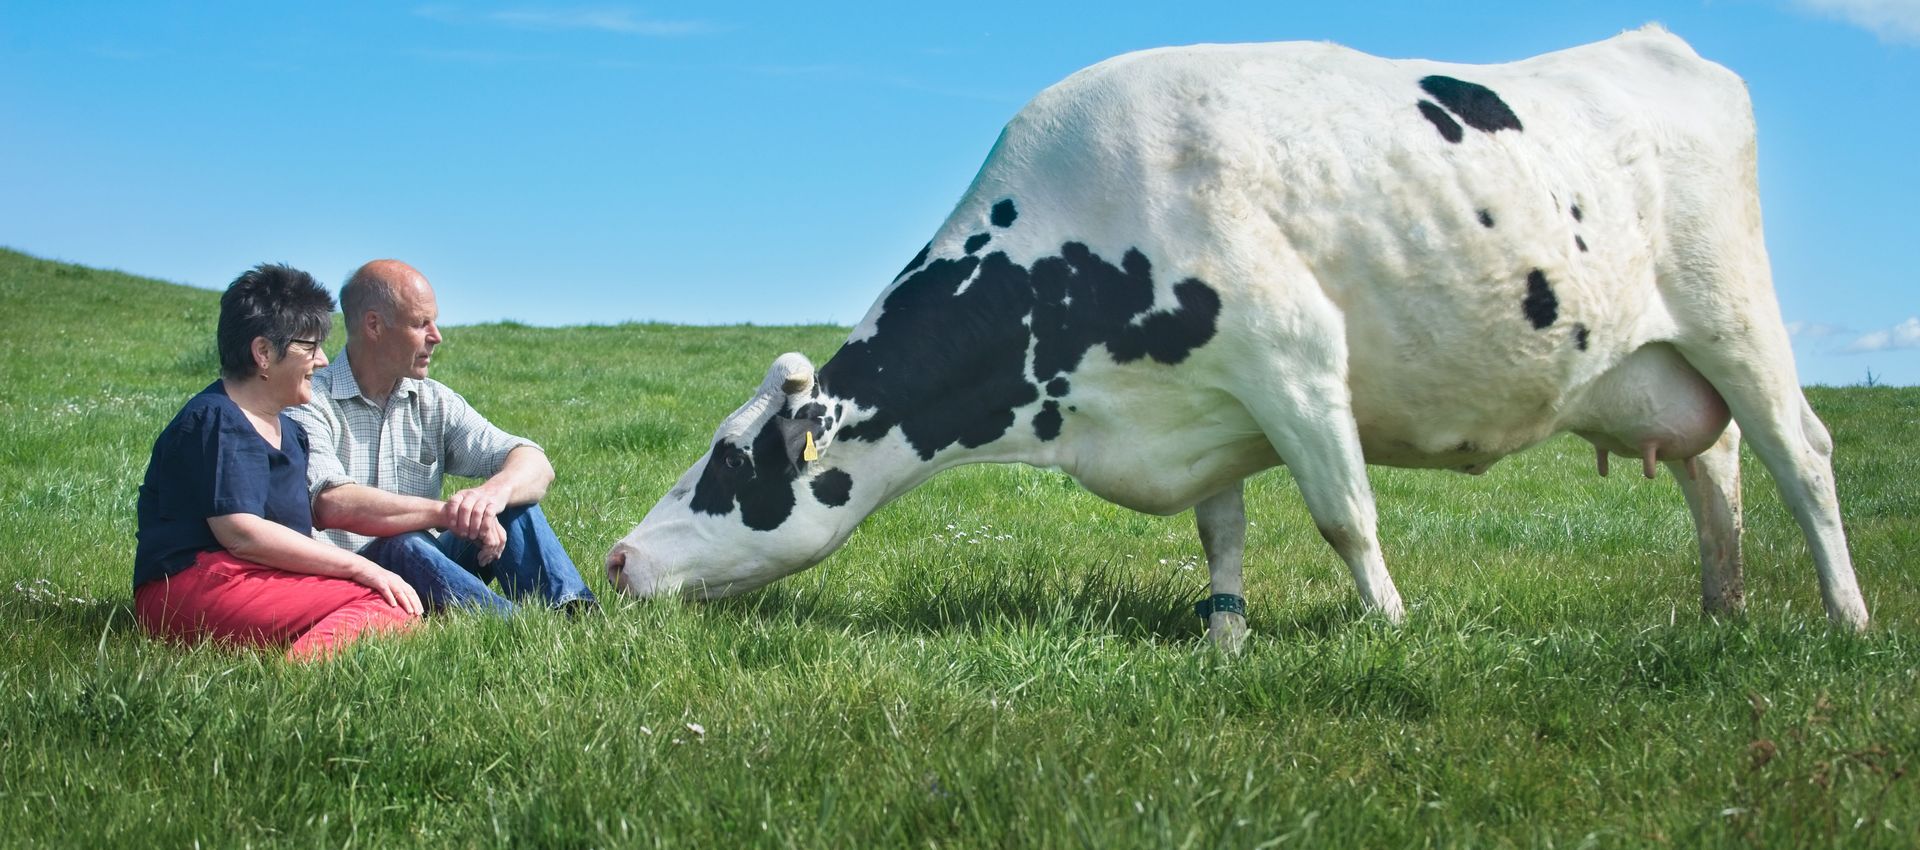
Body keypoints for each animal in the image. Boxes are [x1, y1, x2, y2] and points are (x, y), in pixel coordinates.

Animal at [606, 25, 1870, 645]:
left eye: (733, 462)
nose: (615, 557)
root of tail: (1655, 42)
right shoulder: (1206, 408)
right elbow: (1223, 532)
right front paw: (1225, 637)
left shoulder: (1294, 357)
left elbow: (1345, 514)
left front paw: (1392, 629)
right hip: (1650, 364)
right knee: (1715, 467)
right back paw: (1721, 612)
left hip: (1736, 315)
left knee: (1800, 456)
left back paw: (1845, 620)